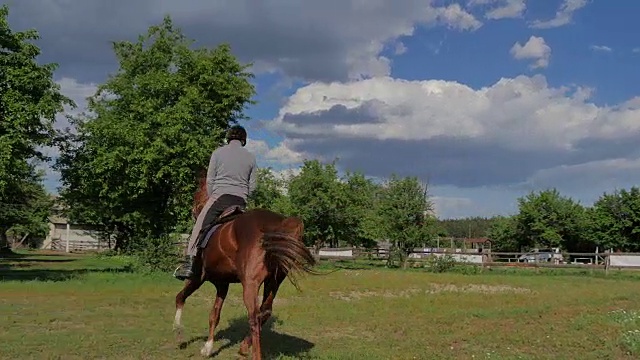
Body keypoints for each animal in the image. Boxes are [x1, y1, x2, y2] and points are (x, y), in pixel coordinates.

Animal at [175, 173, 318, 358]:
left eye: (196, 194)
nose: (193, 211)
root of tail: (276, 223)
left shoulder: (198, 277)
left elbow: (180, 298)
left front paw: (178, 332)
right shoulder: (222, 284)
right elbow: (214, 314)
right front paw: (208, 347)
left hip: (250, 284)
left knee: (254, 317)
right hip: (273, 282)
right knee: (265, 311)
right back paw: (243, 346)